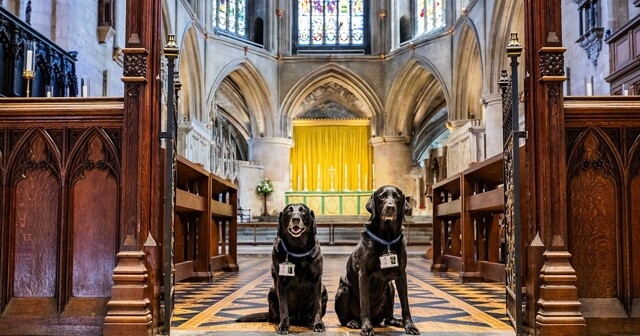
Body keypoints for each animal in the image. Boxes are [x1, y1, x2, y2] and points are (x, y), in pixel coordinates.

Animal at [336, 185, 420, 336]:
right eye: (382, 197)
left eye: (397, 197)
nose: (390, 207)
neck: (386, 239)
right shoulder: (364, 275)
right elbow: (365, 305)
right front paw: (367, 327)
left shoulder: (401, 275)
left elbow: (405, 305)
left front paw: (410, 326)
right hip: (342, 291)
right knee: (344, 319)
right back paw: (353, 322)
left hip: (390, 288)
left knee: (388, 318)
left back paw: (396, 321)